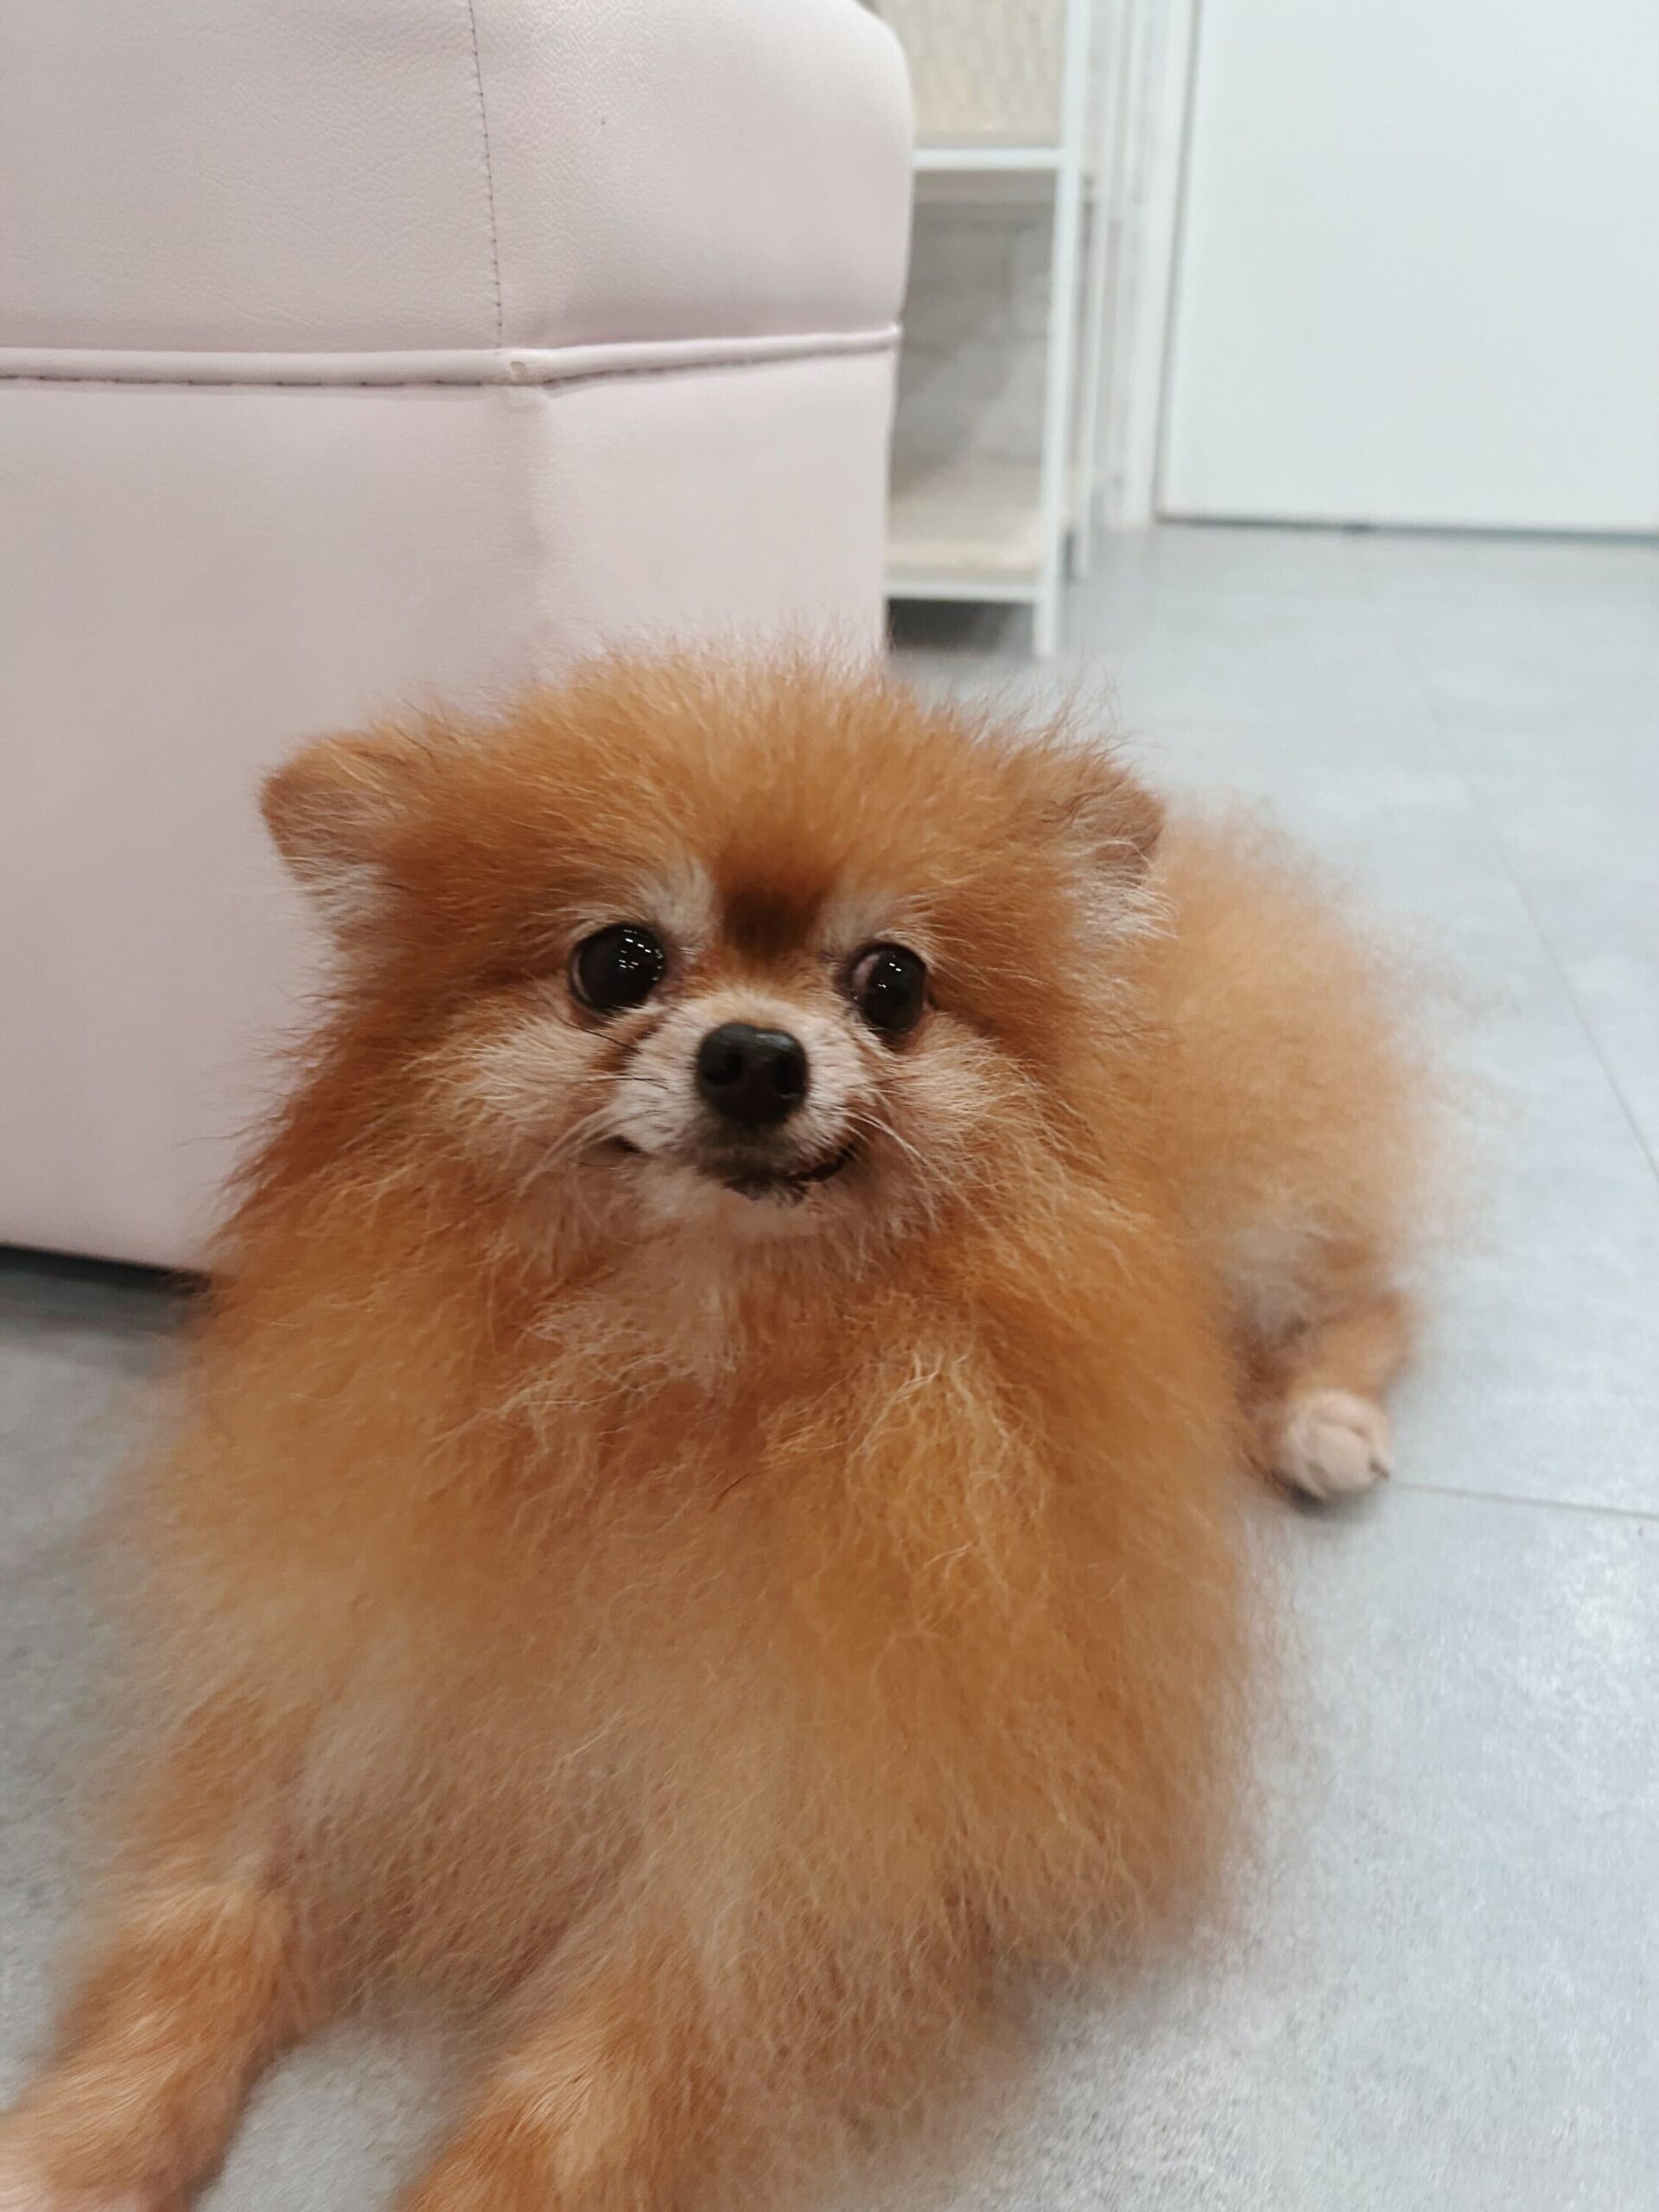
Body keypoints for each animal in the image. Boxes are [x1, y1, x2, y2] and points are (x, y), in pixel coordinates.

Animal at [0, 657, 1436, 2210]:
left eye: (892, 983)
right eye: (617, 963)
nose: (755, 1055)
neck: (677, 1357)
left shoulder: (780, 1853)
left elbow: (571, 2110)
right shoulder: (330, 1698)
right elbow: (192, 1944)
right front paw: (71, 2150)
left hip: (1259, 1215)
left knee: (1371, 1293)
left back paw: (1321, 1419)